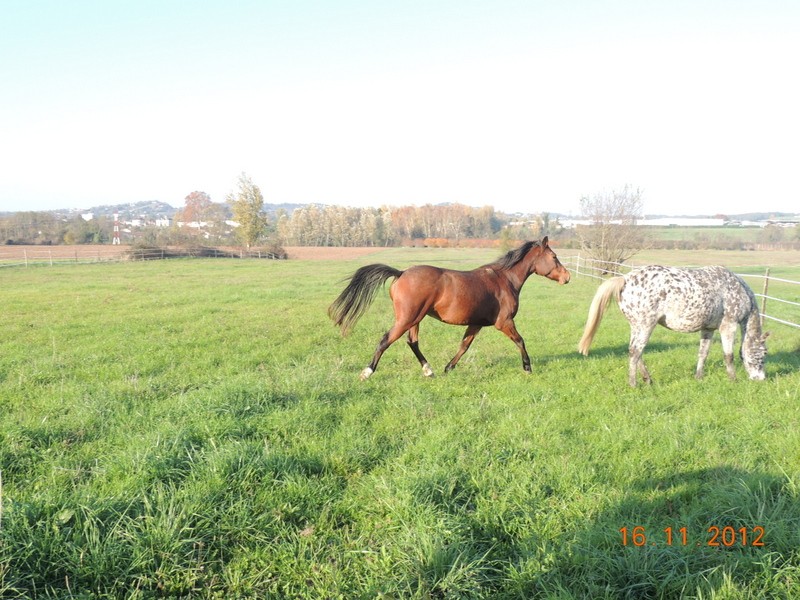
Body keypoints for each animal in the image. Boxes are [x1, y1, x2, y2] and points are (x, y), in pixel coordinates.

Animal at [328, 239, 572, 380]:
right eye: (554, 257)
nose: (567, 277)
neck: (504, 279)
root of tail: (401, 273)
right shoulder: (504, 322)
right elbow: (520, 340)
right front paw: (527, 367)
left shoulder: (476, 324)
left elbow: (464, 346)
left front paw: (448, 368)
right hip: (407, 318)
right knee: (385, 340)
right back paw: (367, 372)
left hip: (415, 319)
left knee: (412, 342)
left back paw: (429, 370)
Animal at [576, 266, 768, 386]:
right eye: (764, 354)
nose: (761, 379)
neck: (739, 289)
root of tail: (625, 279)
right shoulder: (729, 326)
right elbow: (728, 356)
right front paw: (733, 379)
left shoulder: (707, 329)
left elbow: (703, 353)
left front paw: (699, 377)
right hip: (645, 326)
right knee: (636, 352)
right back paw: (633, 384)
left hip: (637, 327)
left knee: (635, 352)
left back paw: (648, 379)